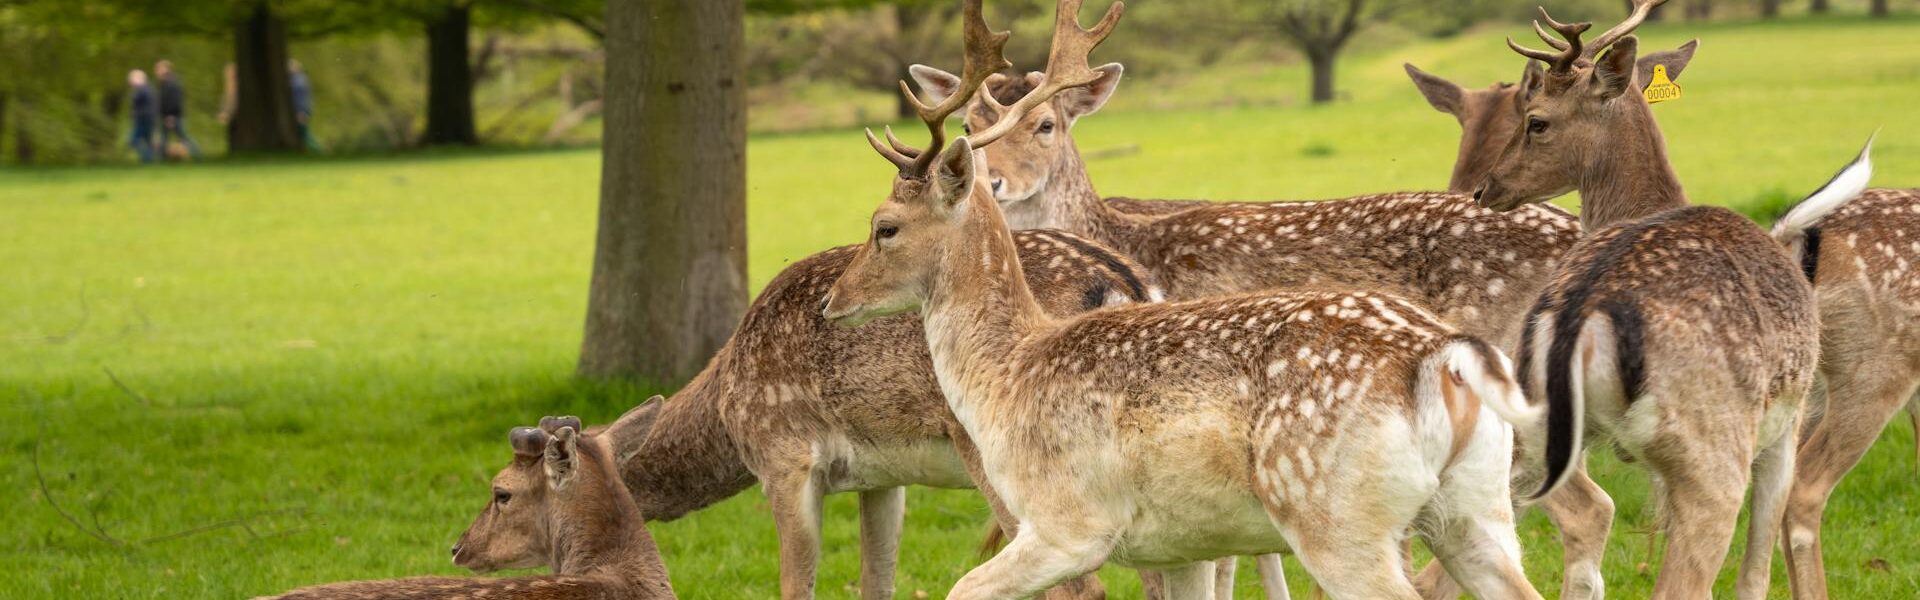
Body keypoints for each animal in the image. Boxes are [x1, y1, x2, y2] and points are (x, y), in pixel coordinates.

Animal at [822, 2, 1549, 598]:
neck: (1004, 375)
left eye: (884, 226)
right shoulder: (1180, 545)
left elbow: (964, 586)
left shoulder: (1067, 521)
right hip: (1477, 507)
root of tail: (1443, 359)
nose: (832, 299)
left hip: (1339, 517)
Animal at [1409, 13, 1920, 599]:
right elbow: (1754, 572)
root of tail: (1585, 319)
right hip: (1740, 441)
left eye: (1535, 120)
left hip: (1522, 435)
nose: (1484, 190)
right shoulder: (1783, 421)